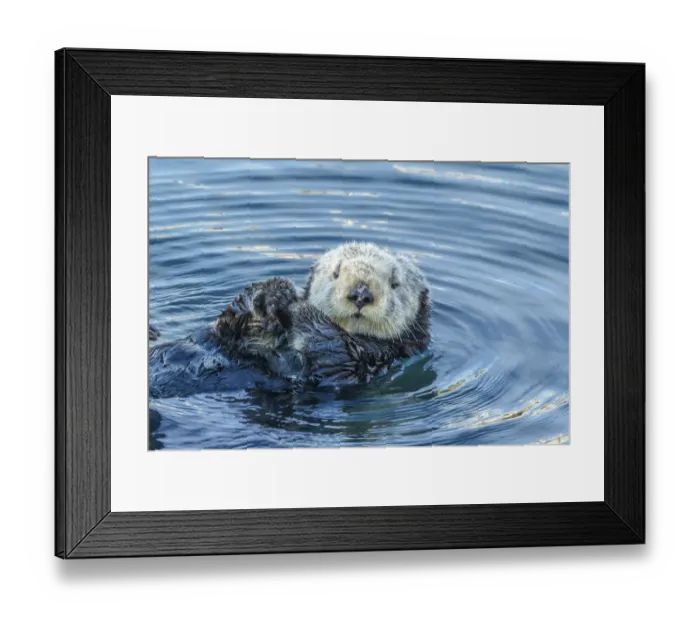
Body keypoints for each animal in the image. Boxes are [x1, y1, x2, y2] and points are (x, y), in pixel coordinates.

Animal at [211, 243, 431, 388]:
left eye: (394, 283)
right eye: (336, 273)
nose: (360, 294)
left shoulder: (365, 362)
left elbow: (331, 351)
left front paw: (300, 307)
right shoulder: (227, 338)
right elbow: (226, 326)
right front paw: (274, 292)